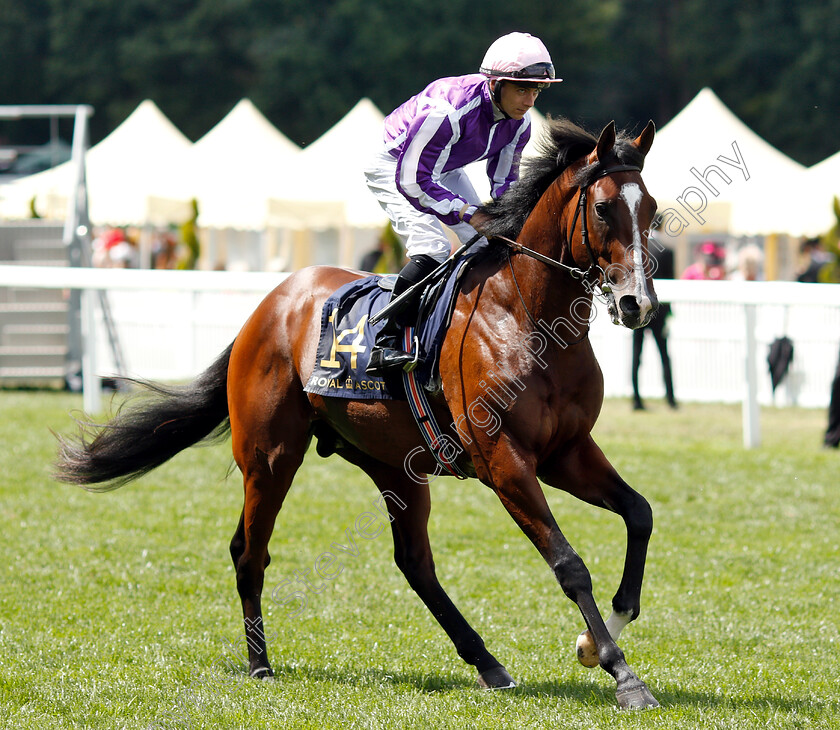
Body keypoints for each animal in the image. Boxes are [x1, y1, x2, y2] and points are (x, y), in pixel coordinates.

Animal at [57, 118, 664, 704]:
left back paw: (488, 665)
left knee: (414, 562)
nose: (637, 303)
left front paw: (597, 637)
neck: (524, 314)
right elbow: (569, 563)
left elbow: (639, 514)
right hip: (270, 456)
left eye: (652, 210)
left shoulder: (566, 451)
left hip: (393, 463)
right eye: (604, 207)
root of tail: (270, 303)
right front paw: (621, 672)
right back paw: (260, 664)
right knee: (249, 552)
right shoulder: (505, 461)